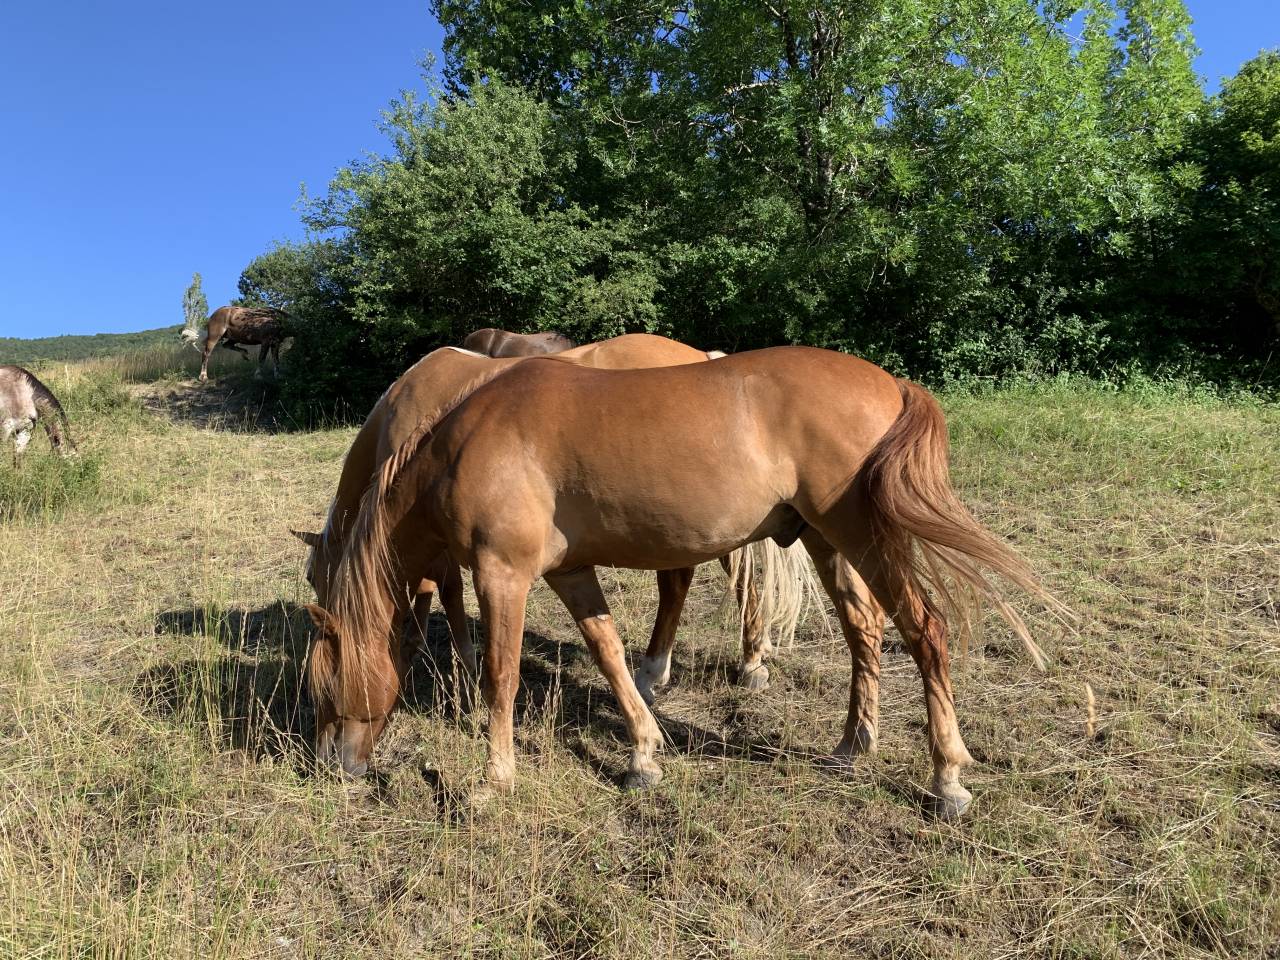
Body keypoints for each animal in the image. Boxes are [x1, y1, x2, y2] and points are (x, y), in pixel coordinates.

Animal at [290, 334, 813, 711]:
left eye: (315, 577)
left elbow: (440, 589)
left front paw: (449, 657)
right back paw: (735, 659)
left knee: (700, 580)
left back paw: (683, 668)